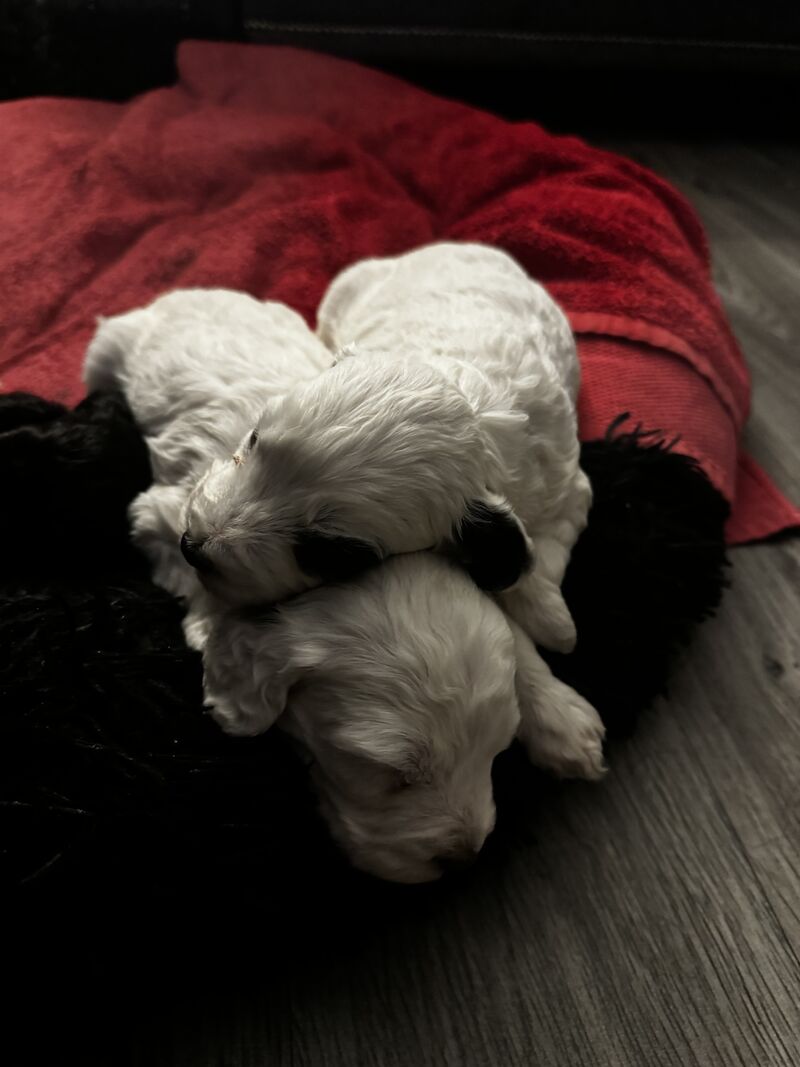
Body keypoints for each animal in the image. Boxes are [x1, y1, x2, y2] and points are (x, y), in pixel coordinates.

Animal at [183, 244, 597, 648]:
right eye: (253, 439)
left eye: (330, 554)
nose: (191, 547)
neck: (474, 407)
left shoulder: (566, 488)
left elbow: (544, 551)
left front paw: (553, 622)